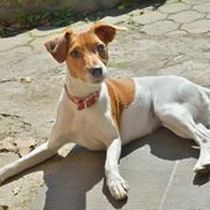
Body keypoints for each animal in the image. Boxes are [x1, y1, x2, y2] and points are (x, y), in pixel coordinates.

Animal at [0, 22, 210, 200]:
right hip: (173, 121)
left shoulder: (113, 140)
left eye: (100, 47)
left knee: (202, 137)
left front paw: (115, 184)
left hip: (169, 111)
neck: (83, 103)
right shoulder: (51, 146)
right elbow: (20, 162)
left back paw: (202, 165)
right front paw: (3, 172)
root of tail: (195, 85)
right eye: (74, 52)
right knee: (204, 133)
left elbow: (108, 164)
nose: (97, 70)